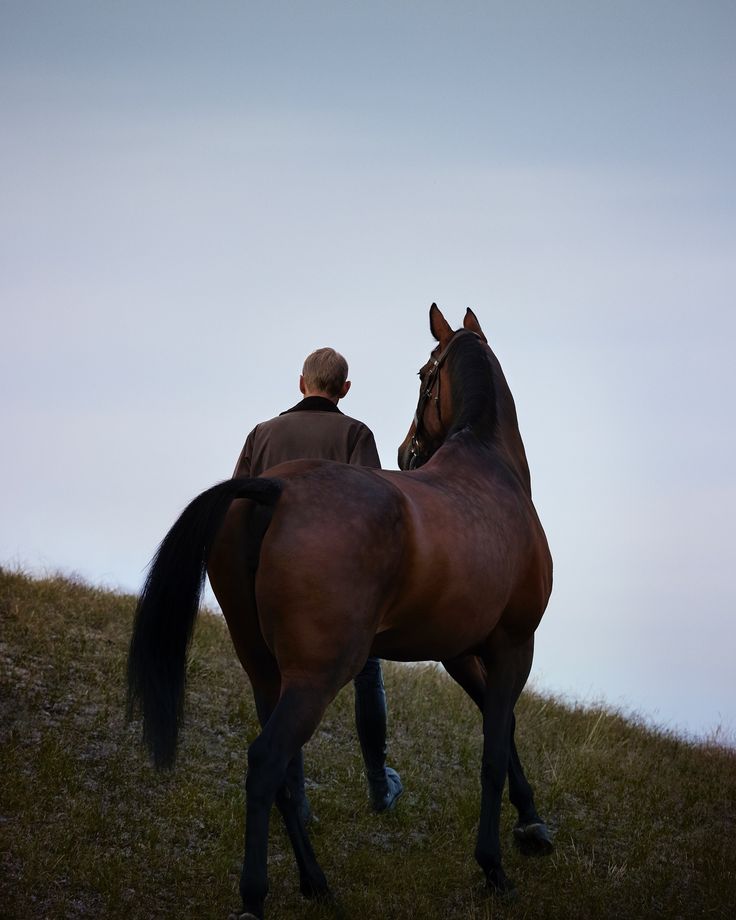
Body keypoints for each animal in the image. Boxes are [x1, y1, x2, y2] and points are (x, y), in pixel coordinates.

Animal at [126, 304, 552, 920]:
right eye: (424, 372)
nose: (404, 450)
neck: (492, 470)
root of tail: (273, 489)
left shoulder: (461, 652)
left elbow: (506, 729)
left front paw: (532, 825)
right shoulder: (515, 645)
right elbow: (494, 750)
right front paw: (493, 865)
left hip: (266, 670)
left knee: (284, 771)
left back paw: (316, 881)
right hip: (318, 674)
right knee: (266, 762)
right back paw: (255, 896)